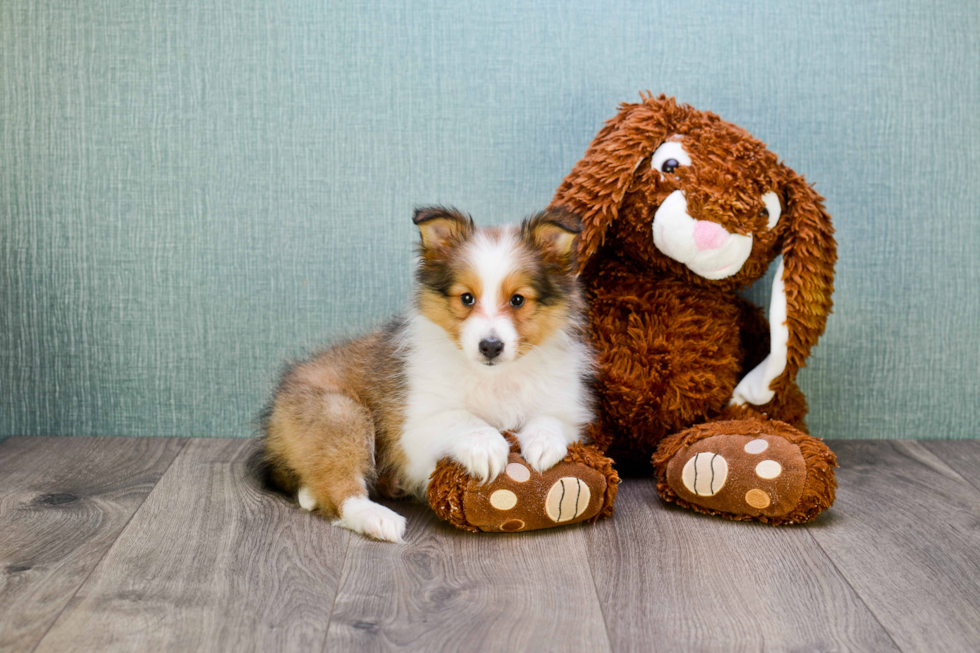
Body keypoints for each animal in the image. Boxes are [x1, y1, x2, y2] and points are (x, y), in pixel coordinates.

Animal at [260, 208, 592, 540]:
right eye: (466, 298)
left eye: (518, 300)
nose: (490, 346)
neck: (493, 376)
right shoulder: (414, 429)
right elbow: (460, 417)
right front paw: (486, 447)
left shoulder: (568, 413)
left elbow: (550, 419)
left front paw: (543, 445)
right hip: (339, 414)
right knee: (339, 488)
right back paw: (378, 518)